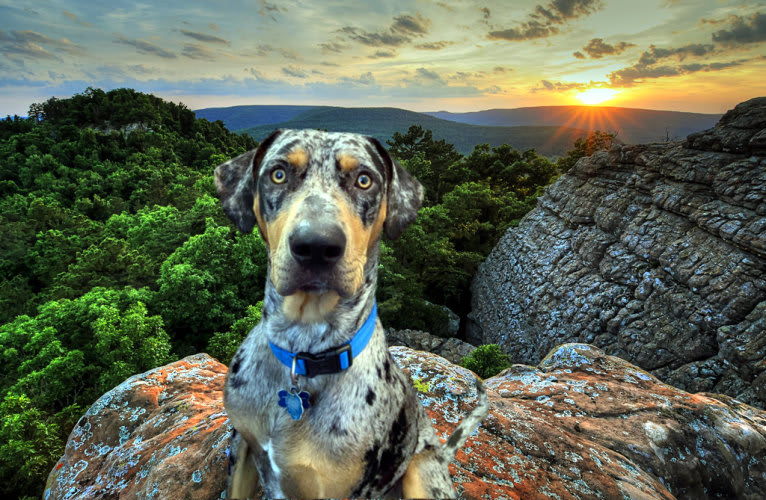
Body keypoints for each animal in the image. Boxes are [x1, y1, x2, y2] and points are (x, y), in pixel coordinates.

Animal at [214, 130, 492, 500]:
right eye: (278, 174)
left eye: (364, 180)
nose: (316, 245)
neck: (303, 351)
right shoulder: (242, 447)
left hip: (421, 472)